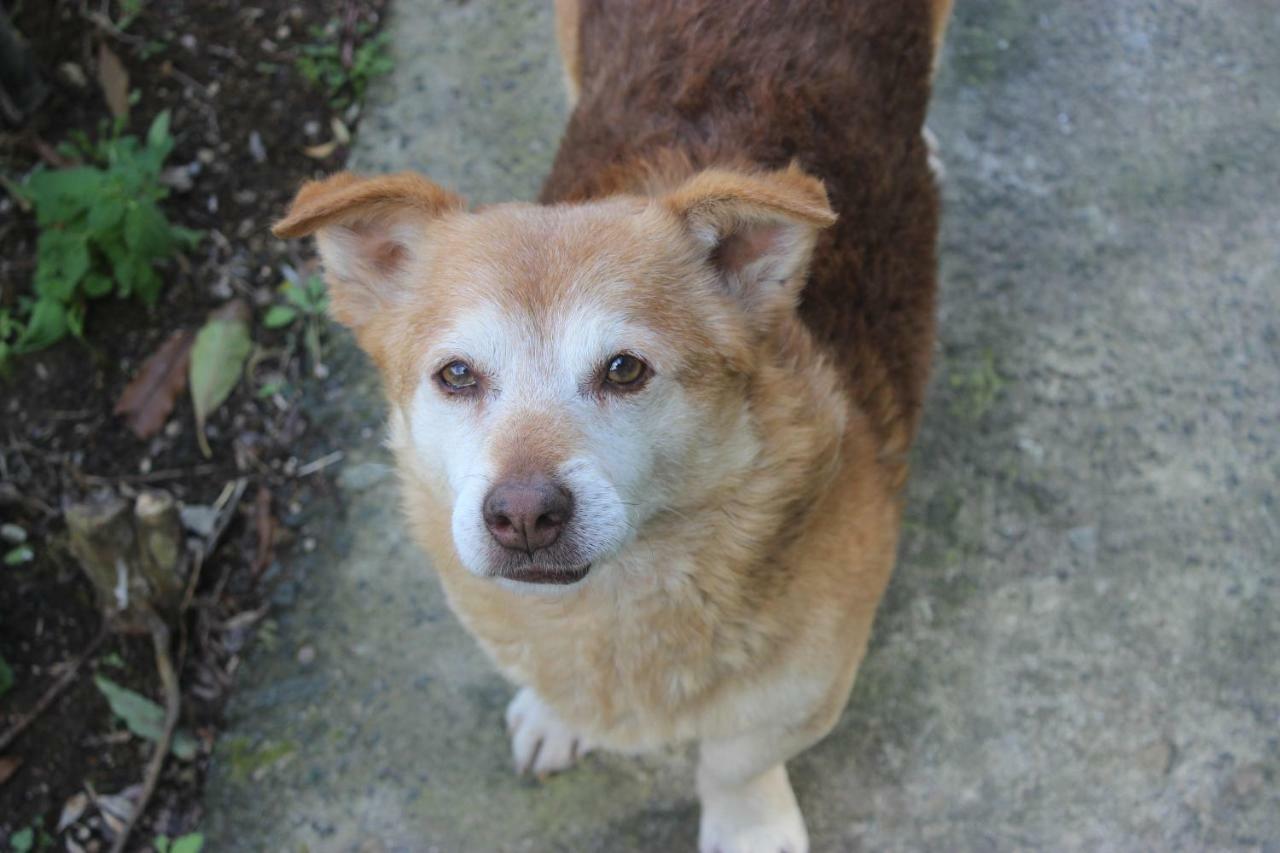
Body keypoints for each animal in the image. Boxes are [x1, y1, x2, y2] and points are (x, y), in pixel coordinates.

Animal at [275, 3, 947, 845]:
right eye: (456, 375)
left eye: (624, 369)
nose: (522, 515)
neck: (616, 597)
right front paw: (555, 714)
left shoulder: (811, 681)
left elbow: (736, 757)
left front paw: (749, 824)